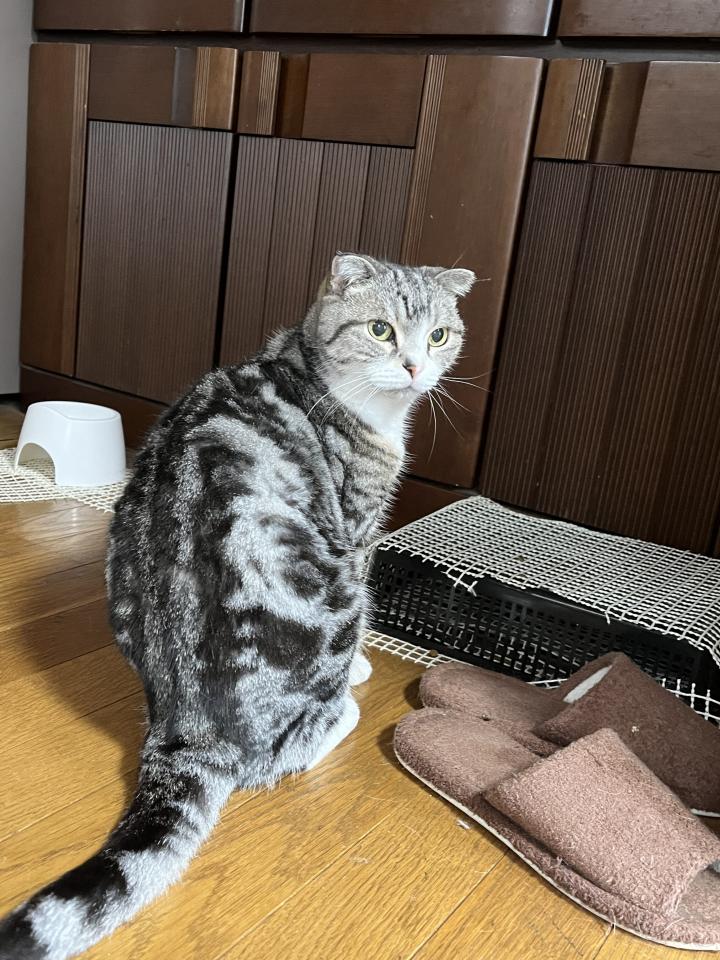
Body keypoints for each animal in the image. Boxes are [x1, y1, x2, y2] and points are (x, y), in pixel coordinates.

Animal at [0, 253, 475, 959]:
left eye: (438, 336)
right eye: (381, 330)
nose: (417, 367)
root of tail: (187, 728)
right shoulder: (358, 527)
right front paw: (365, 666)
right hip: (331, 590)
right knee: (289, 750)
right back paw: (345, 709)